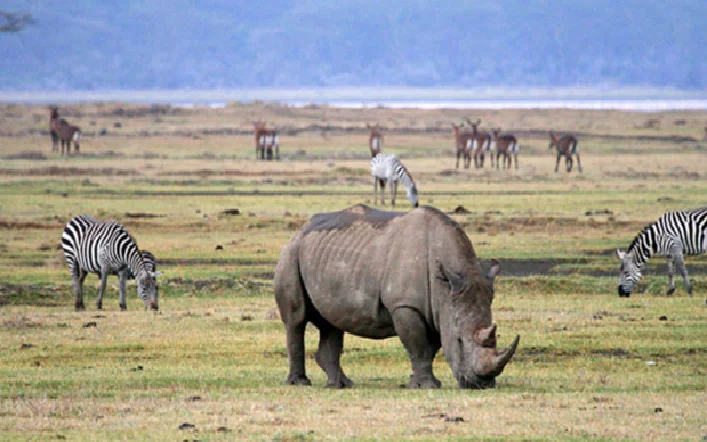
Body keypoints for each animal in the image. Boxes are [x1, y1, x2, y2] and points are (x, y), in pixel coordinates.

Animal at [274, 204, 520, 389]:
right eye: (459, 340)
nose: (481, 385)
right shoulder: (405, 306)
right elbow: (418, 345)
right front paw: (428, 386)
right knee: (296, 319)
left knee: (332, 323)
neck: (446, 286)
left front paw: (415, 383)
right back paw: (300, 383)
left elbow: (429, 348)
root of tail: (301, 229)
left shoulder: (439, 309)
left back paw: (341, 384)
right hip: (291, 253)